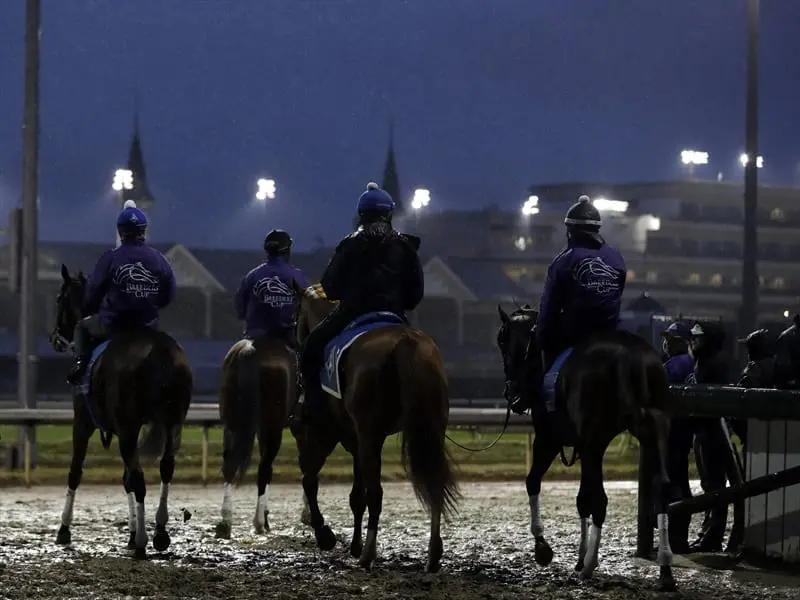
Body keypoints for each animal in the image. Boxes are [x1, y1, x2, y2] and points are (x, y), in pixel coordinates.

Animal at [50, 264, 194, 560]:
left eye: (60, 298)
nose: (55, 337)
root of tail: (159, 351)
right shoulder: (123, 429)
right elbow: (126, 478)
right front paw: (130, 532)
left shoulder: (84, 423)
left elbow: (76, 471)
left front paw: (64, 530)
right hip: (173, 423)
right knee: (165, 467)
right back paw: (159, 532)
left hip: (128, 427)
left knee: (139, 478)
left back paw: (142, 542)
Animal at [212, 336, 296, 536]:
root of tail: (250, 350)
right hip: (273, 428)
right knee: (263, 469)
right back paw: (258, 521)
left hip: (232, 424)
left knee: (230, 465)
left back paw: (226, 521)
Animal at [290, 282, 460, 572]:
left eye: (296, 314)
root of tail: (406, 344)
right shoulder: (356, 441)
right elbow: (355, 496)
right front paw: (352, 544)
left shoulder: (324, 434)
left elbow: (311, 480)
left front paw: (326, 535)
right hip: (429, 431)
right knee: (434, 483)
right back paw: (433, 554)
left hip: (370, 435)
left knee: (375, 494)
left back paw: (369, 554)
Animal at [500, 304, 676, 592]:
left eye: (502, 341)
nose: (511, 393)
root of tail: (627, 353)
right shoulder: (583, 446)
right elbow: (582, 499)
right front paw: (579, 557)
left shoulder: (549, 439)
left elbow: (533, 482)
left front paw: (543, 546)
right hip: (655, 429)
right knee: (661, 487)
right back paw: (665, 569)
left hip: (595, 442)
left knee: (601, 499)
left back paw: (590, 567)